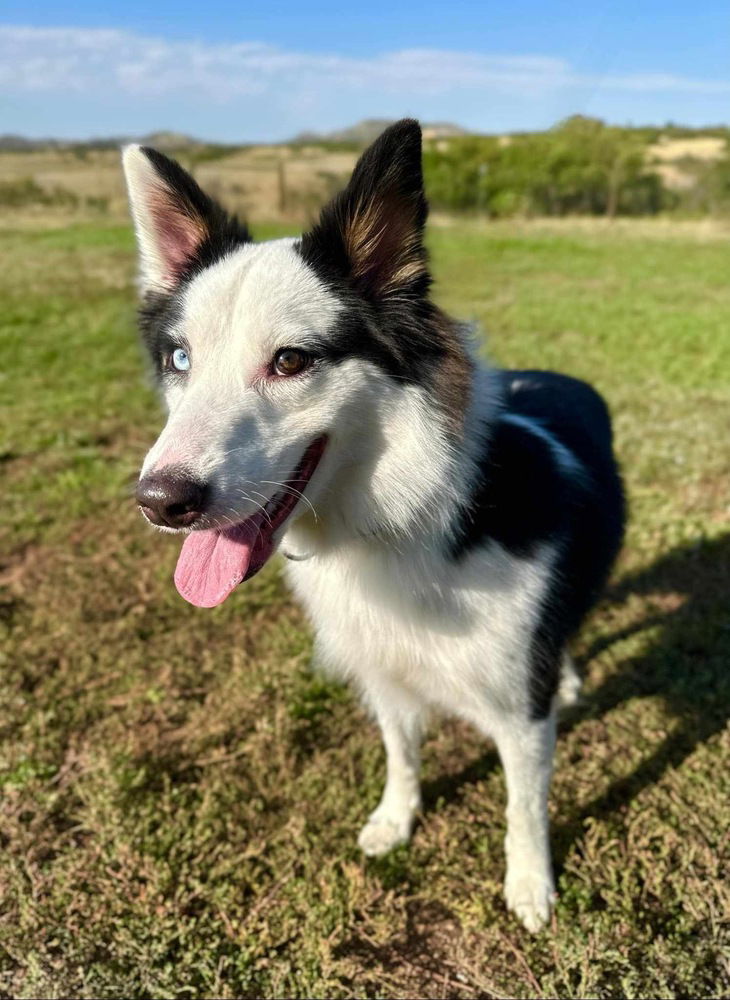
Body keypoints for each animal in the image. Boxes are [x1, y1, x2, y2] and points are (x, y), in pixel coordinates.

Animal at [122, 123, 624, 928]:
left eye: (291, 361)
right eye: (179, 359)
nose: (160, 501)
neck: (407, 517)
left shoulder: (520, 712)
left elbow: (524, 806)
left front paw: (529, 883)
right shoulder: (385, 673)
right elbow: (402, 754)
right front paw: (397, 819)